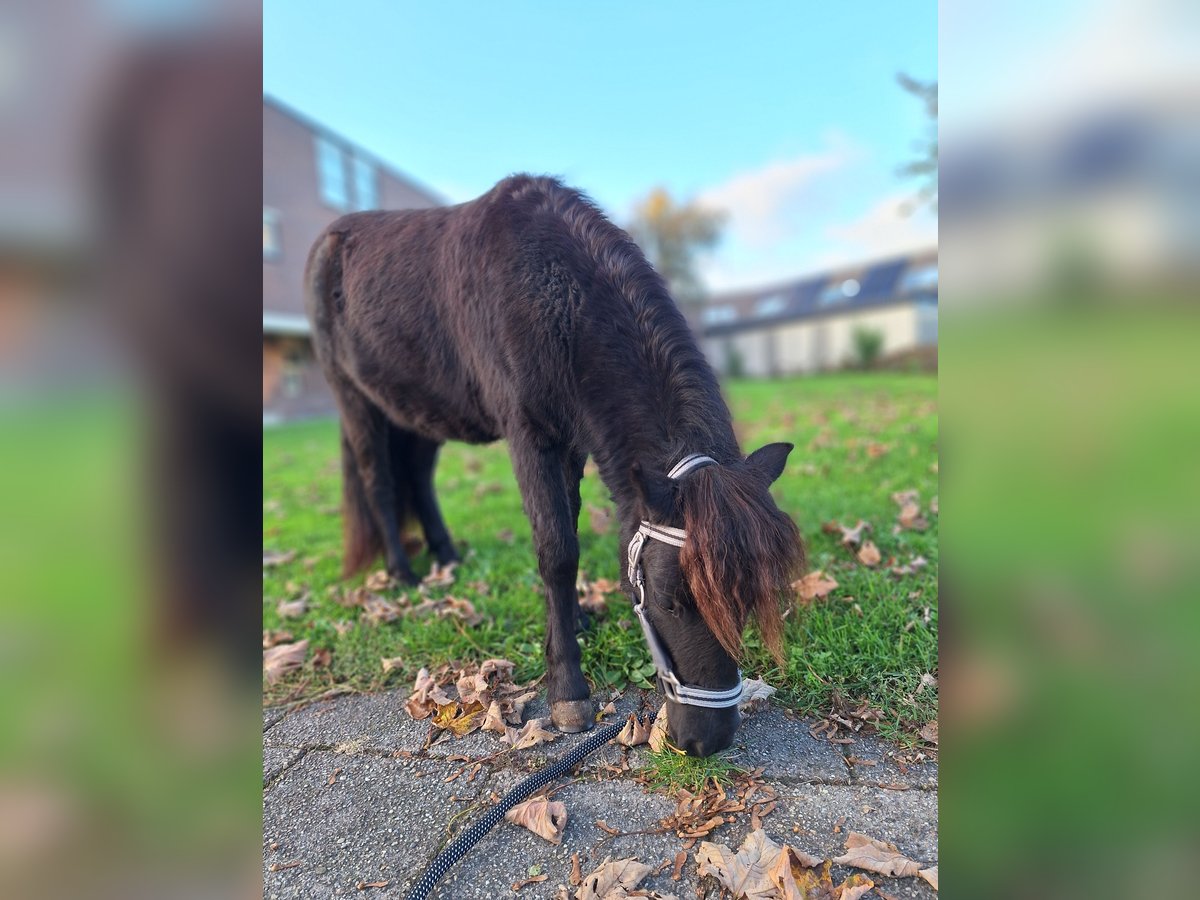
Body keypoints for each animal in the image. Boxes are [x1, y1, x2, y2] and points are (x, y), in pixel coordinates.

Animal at [304, 174, 801, 753]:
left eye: (748, 598)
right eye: (670, 601)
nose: (708, 739)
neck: (550, 292)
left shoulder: (573, 441)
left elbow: (574, 530)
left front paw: (577, 617)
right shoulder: (530, 437)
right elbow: (557, 550)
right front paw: (568, 690)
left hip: (421, 412)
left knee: (419, 478)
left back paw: (447, 555)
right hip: (356, 401)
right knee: (379, 483)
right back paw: (402, 572)